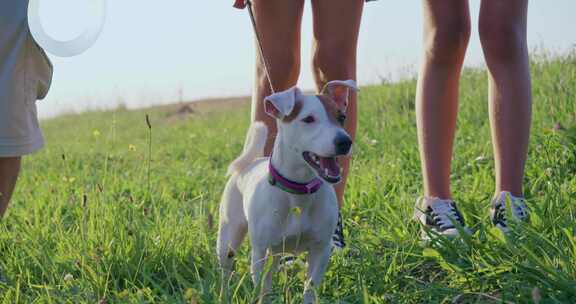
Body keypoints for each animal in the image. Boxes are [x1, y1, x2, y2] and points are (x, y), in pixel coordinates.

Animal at [218, 79, 358, 302]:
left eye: (342, 117)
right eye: (308, 119)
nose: (345, 141)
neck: (299, 190)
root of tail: (250, 163)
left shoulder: (320, 250)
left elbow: (310, 289)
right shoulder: (260, 253)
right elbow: (262, 290)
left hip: (275, 252)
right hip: (229, 238)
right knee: (225, 270)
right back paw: (224, 295)